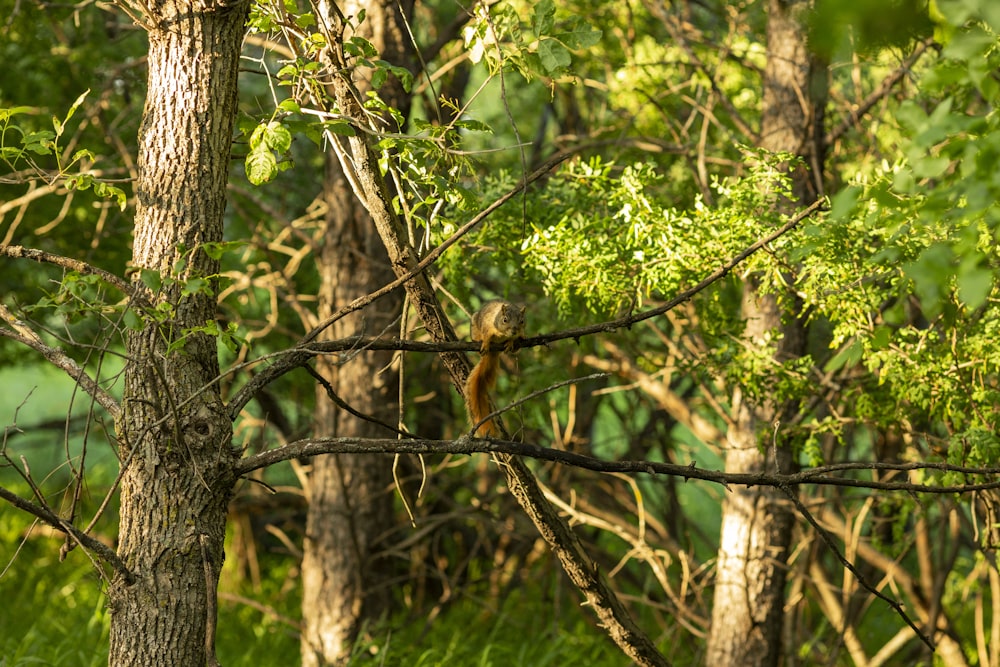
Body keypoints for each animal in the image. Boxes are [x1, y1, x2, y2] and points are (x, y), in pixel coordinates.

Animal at [464, 298, 528, 438]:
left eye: (522, 321)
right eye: (505, 319)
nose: (514, 330)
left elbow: (512, 339)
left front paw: (511, 342)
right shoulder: (487, 325)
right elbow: (487, 336)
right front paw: (485, 343)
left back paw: (521, 338)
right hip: (474, 324)